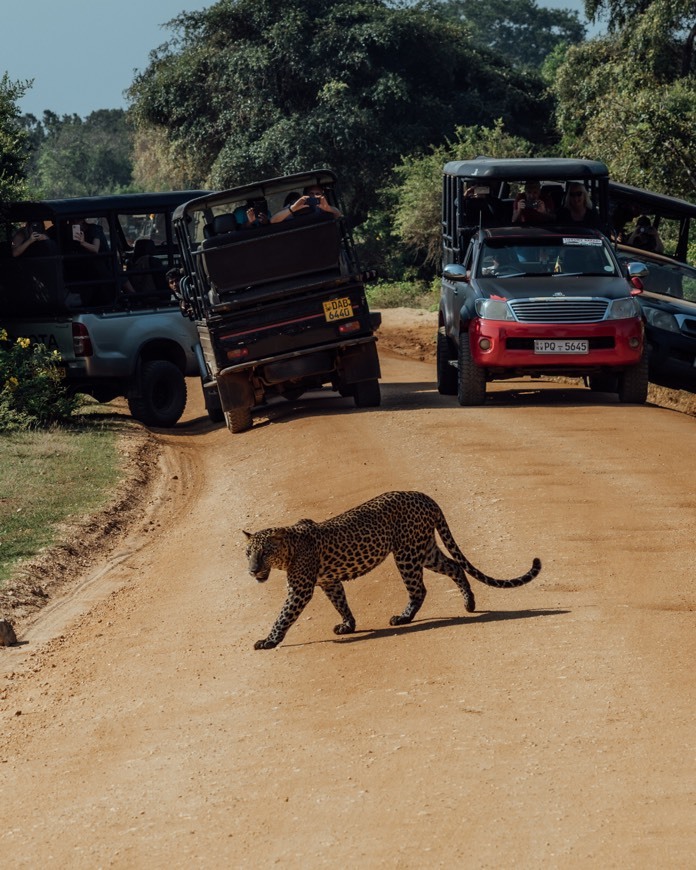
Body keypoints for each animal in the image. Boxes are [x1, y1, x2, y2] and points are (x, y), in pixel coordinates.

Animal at [242, 490, 540, 648]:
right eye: (248, 554)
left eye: (264, 553)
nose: (252, 571)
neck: (289, 547)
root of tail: (426, 497)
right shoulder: (329, 581)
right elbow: (341, 601)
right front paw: (348, 624)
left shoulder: (300, 589)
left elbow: (284, 615)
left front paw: (268, 641)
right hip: (425, 548)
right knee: (454, 566)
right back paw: (469, 604)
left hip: (406, 553)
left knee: (419, 589)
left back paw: (404, 617)